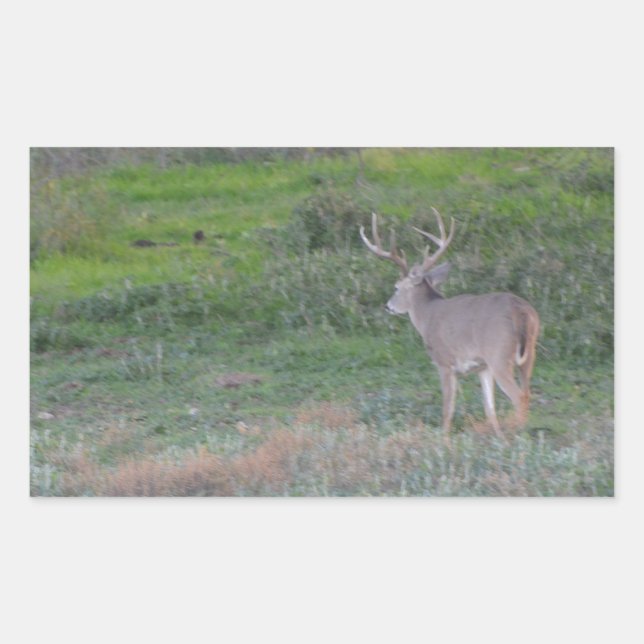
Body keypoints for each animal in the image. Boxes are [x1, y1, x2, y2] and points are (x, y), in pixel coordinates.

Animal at [359, 208, 539, 436]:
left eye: (396, 287)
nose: (387, 306)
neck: (427, 315)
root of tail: (521, 311)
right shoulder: (482, 367)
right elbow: (489, 409)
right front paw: (498, 437)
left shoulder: (444, 361)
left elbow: (448, 408)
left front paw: (443, 438)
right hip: (529, 353)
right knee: (527, 393)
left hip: (499, 355)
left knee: (519, 397)